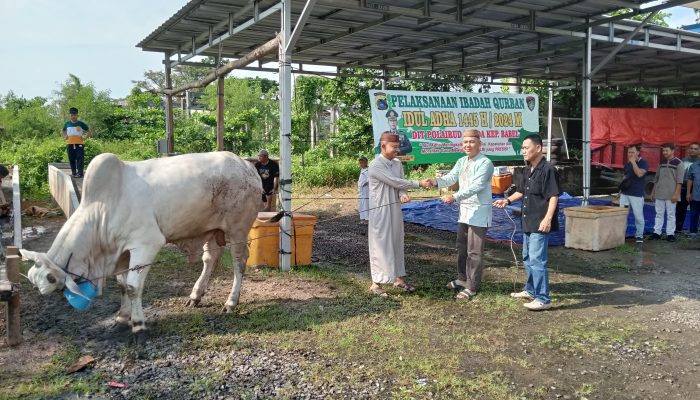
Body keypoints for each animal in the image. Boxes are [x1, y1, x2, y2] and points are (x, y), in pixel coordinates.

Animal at [22, 152, 262, 340]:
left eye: (53, 282)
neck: (102, 211)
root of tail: (246, 165)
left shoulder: (146, 244)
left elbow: (132, 287)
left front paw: (138, 326)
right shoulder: (121, 252)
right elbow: (121, 286)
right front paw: (121, 319)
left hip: (238, 229)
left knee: (239, 263)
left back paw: (231, 302)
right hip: (213, 230)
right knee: (211, 258)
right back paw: (195, 295)